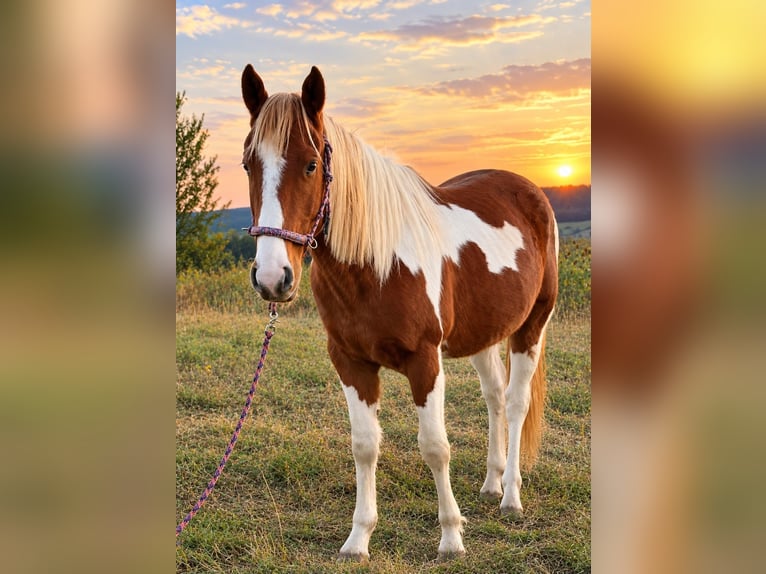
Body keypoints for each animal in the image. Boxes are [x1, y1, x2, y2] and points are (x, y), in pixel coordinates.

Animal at [239, 65, 559, 561]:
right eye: (248, 164)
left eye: (311, 165)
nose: (273, 278)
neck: (377, 263)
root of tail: (530, 190)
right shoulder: (350, 362)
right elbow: (365, 446)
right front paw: (358, 538)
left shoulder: (424, 361)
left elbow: (435, 447)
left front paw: (451, 537)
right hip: (484, 335)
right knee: (493, 398)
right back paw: (490, 484)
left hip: (532, 326)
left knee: (515, 402)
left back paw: (510, 496)